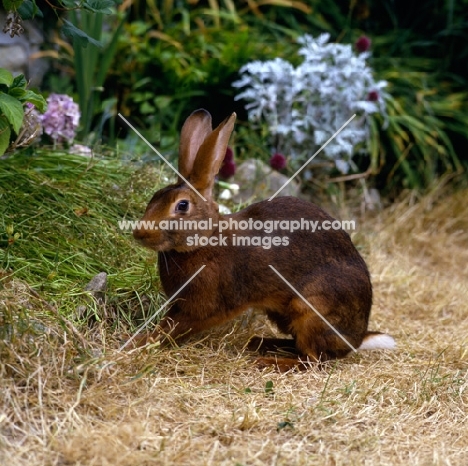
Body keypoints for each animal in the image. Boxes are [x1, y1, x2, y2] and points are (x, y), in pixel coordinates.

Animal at [132, 109, 394, 372]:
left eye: (182, 205)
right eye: (154, 197)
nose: (139, 233)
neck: (205, 241)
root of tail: (356, 339)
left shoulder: (200, 307)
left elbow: (172, 327)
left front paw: (142, 343)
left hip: (311, 311)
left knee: (313, 359)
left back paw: (270, 360)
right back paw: (261, 343)